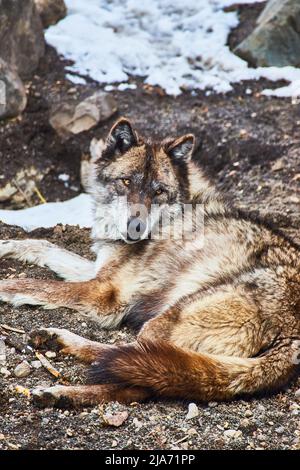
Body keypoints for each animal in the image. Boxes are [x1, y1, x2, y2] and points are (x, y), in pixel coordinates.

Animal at [0, 118, 298, 408]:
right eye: (126, 182)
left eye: (159, 191)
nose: (136, 227)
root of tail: (293, 339)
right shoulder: (100, 271)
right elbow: (45, 246)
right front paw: (8, 245)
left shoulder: (104, 294)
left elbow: (34, 284)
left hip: (162, 322)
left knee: (137, 371)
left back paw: (61, 373)